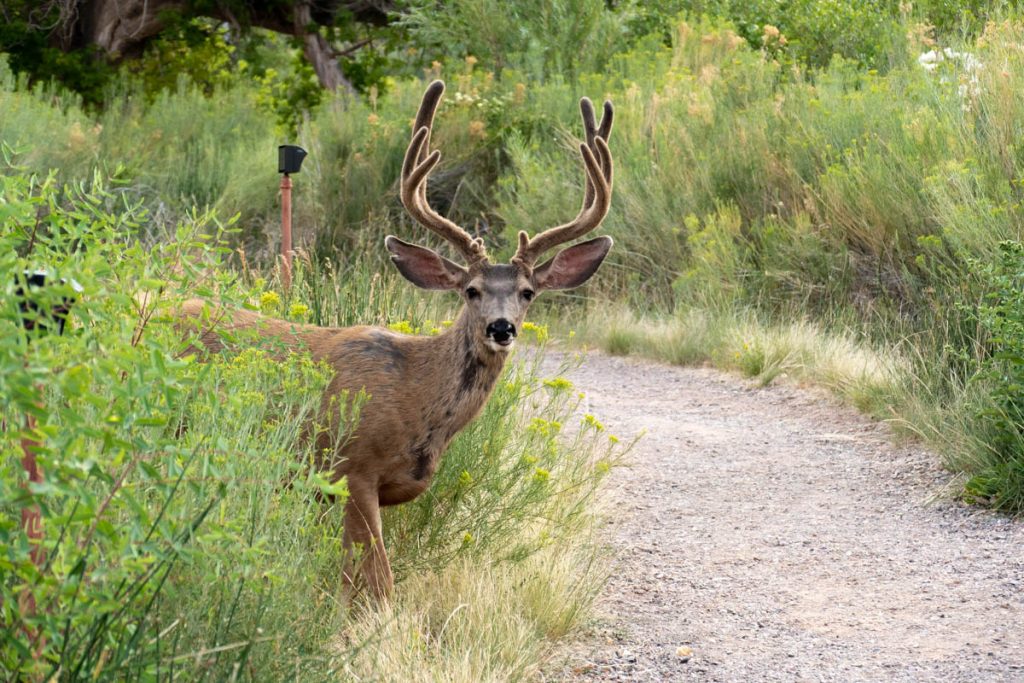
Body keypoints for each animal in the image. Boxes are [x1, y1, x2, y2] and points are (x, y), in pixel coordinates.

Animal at [178, 80, 614, 599]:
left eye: (528, 293)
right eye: (471, 290)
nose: (501, 327)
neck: (416, 397)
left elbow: (350, 579)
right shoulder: (351, 469)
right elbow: (380, 580)